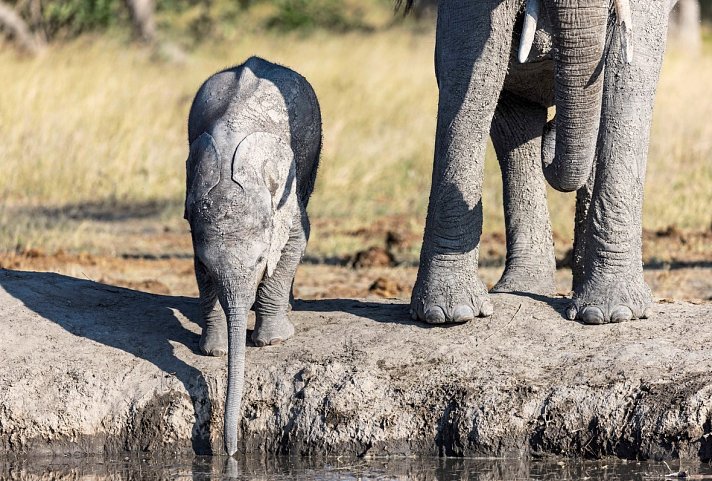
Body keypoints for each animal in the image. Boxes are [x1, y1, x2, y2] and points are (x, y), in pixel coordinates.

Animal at [185, 56, 322, 454]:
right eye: (210, 266)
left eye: (261, 262)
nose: (229, 452)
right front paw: (213, 352)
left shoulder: (284, 198)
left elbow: (295, 240)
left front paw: (273, 342)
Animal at [408, 0, 676, 324]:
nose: (553, 129)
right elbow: (469, 58)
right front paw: (447, 313)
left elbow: (631, 70)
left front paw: (613, 313)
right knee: (515, 119)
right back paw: (521, 288)